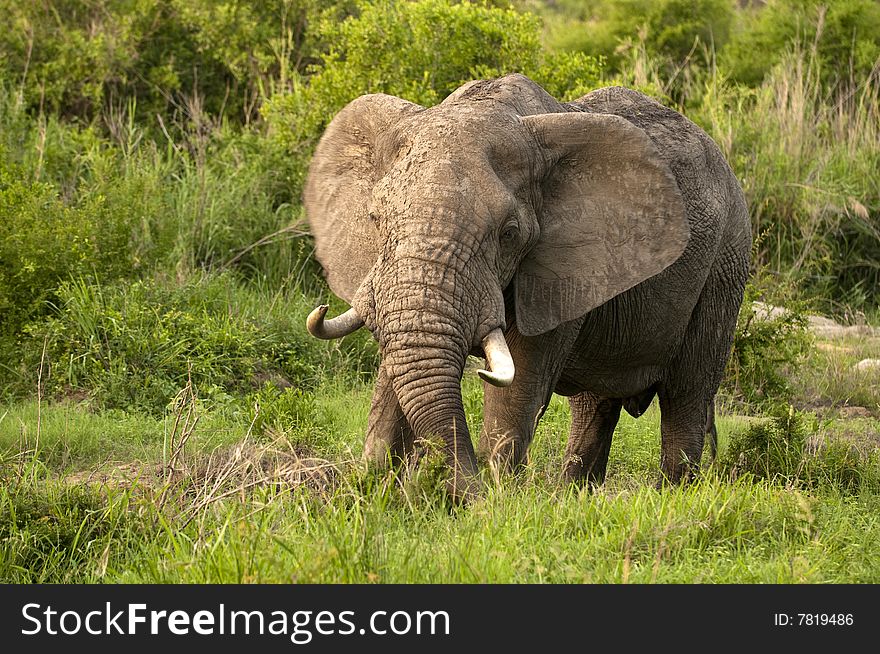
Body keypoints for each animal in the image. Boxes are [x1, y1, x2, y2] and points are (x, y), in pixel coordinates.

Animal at [300, 73, 748, 502]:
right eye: (375, 219)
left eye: (509, 233)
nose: (457, 490)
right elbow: (394, 374)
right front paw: (368, 487)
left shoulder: (559, 268)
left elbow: (519, 382)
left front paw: (494, 500)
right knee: (594, 405)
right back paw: (573, 495)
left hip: (725, 266)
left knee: (686, 396)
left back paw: (674, 494)